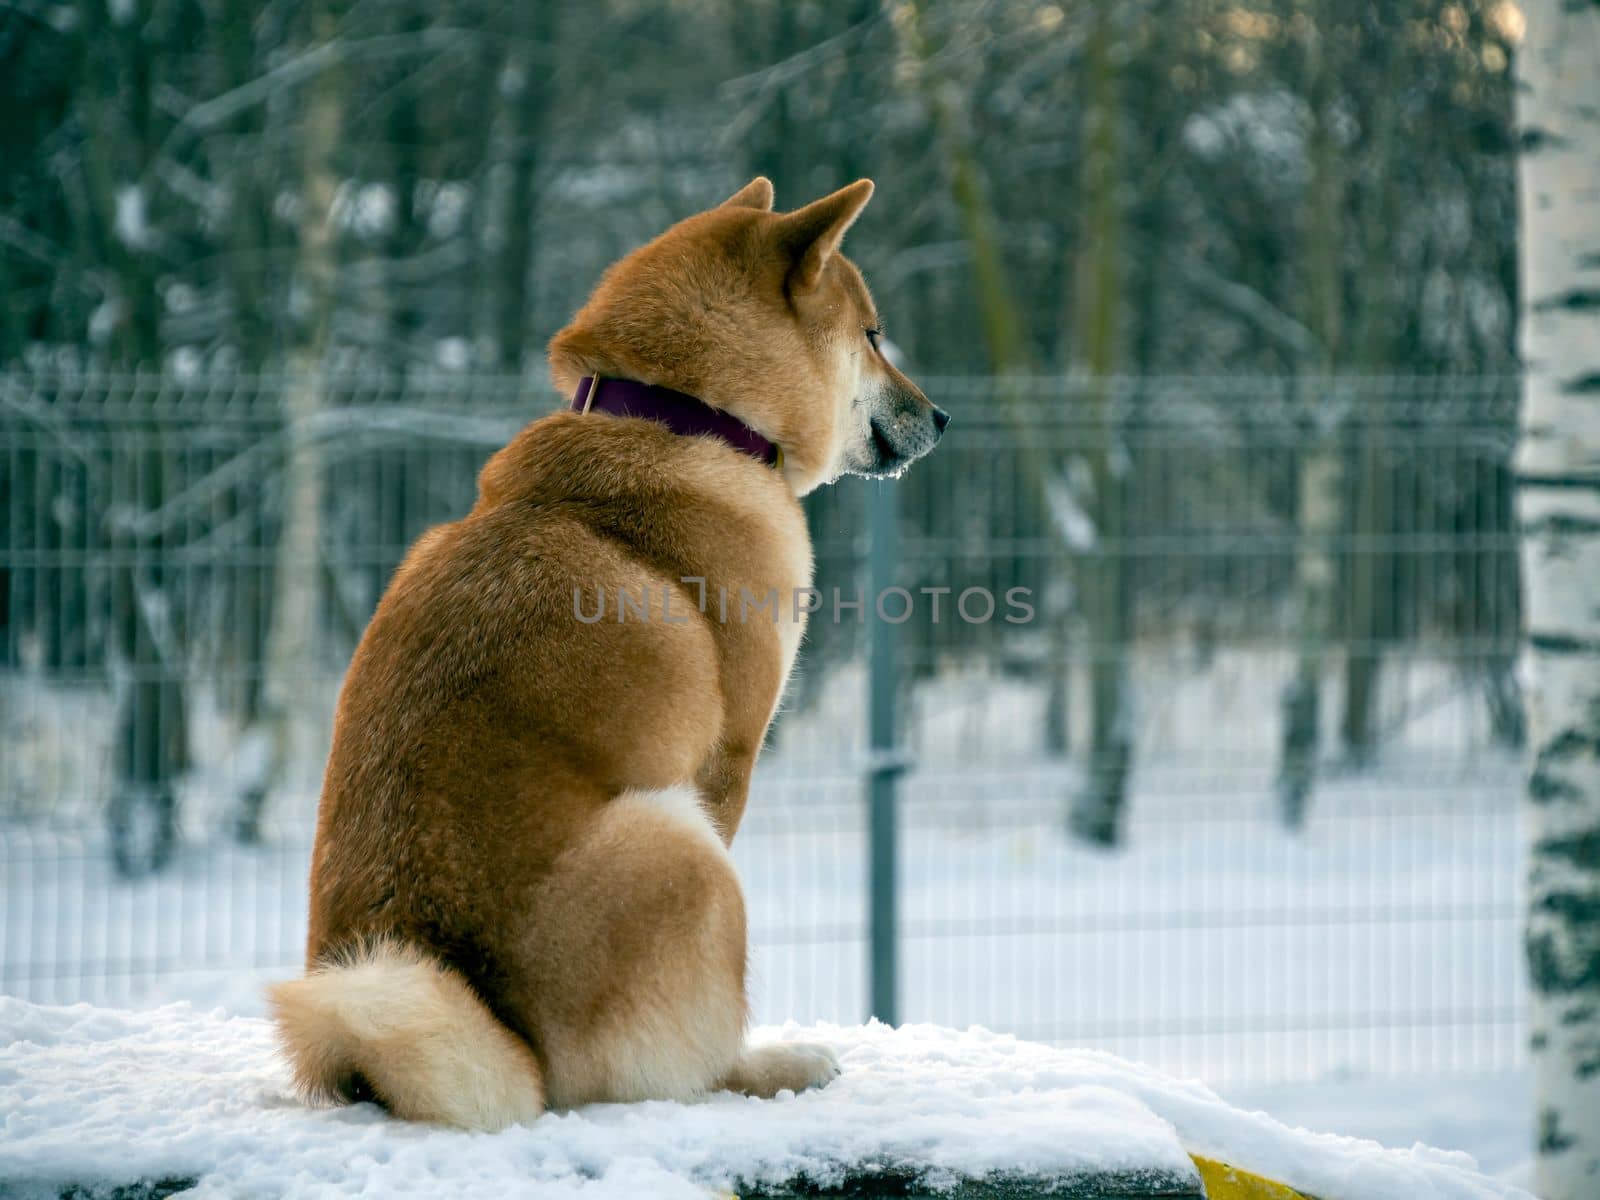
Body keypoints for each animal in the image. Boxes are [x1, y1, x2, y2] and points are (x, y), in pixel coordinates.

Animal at [272, 176, 947, 1126]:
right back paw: (771, 1065)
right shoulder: (727, 762)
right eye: (875, 336)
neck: (685, 419)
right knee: (666, 1075)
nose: (943, 416)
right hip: (681, 845)